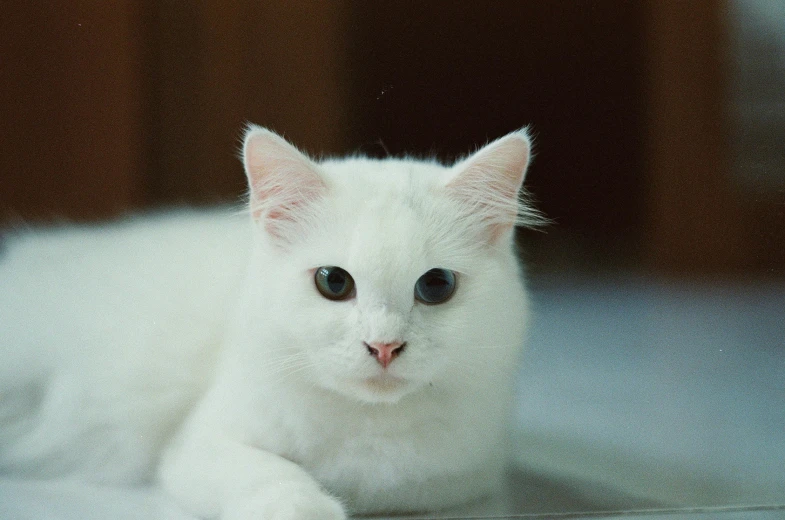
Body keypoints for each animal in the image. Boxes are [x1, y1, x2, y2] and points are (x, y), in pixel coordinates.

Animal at [0, 127, 540, 520]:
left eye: (436, 286)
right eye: (333, 282)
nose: (384, 347)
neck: (366, 424)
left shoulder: (452, 477)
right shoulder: (200, 447)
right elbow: (276, 478)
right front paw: (313, 507)